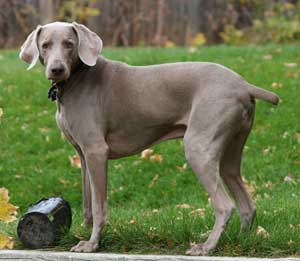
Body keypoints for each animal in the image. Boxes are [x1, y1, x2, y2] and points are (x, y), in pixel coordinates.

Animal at [19, 21, 280, 254]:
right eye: (45, 45)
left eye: (69, 44)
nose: (56, 69)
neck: (76, 79)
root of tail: (244, 85)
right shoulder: (83, 155)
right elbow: (87, 203)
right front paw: (87, 236)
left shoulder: (96, 151)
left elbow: (99, 205)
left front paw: (92, 245)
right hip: (229, 151)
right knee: (246, 203)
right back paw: (241, 241)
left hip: (199, 147)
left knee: (225, 205)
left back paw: (206, 247)